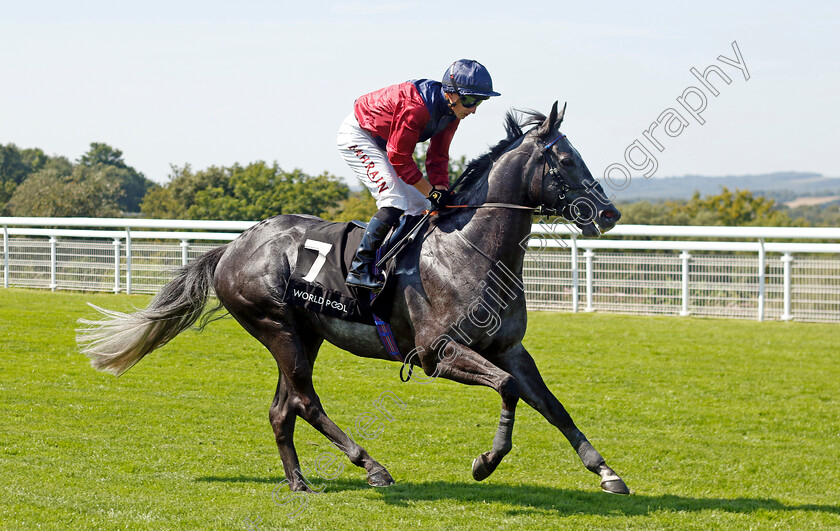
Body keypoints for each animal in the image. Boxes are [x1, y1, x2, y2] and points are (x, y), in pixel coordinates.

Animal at [80, 102, 632, 496]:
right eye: (566, 159)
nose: (608, 213)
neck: (469, 248)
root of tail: (232, 247)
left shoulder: (510, 348)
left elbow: (551, 404)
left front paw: (606, 472)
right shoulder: (437, 353)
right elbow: (508, 389)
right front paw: (485, 463)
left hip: (305, 333)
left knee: (282, 408)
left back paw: (299, 482)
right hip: (276, 326)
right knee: (304, 400)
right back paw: (372, 466)